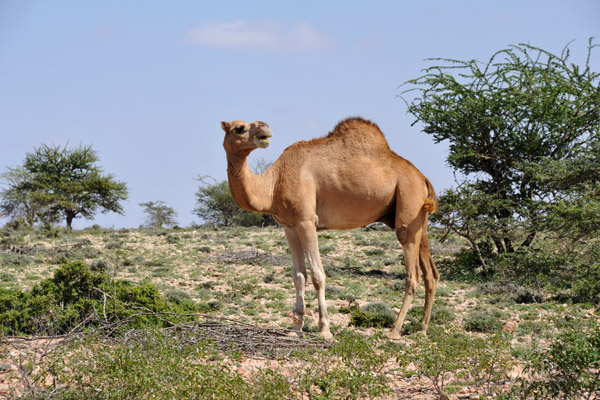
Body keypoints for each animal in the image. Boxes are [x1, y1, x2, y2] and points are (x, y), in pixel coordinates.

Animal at [220, 117, 440, 340]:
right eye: (240, 128)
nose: (264, 128)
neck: (274, 184)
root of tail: (423, 178)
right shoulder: (289, 226)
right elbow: (299, 276)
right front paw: (296, 328)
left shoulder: (306, 221)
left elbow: (318, 275)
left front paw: (324, 329)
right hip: (418, 220)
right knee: (431, 274)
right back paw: (422, 329)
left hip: (407, 203)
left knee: (413, 276)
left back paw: (394, 331)